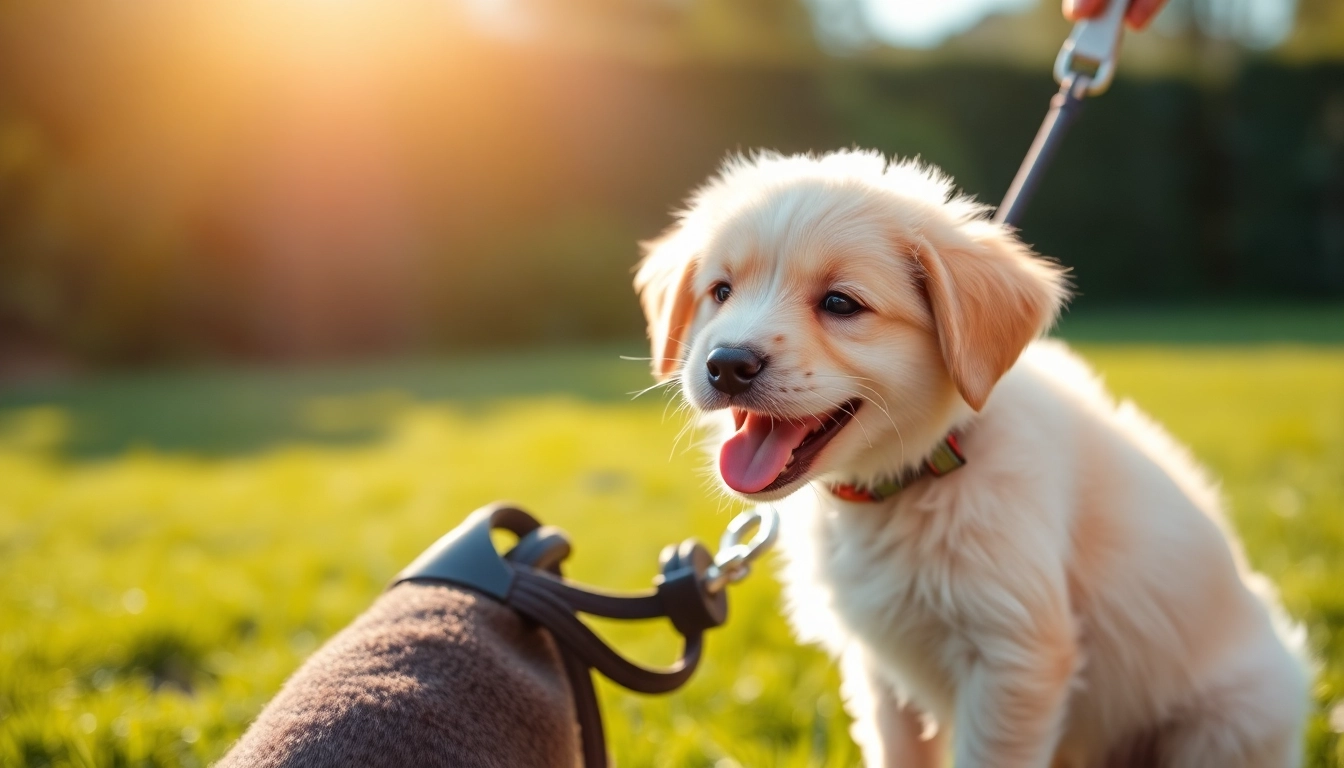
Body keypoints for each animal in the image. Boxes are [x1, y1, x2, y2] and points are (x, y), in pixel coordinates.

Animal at [634, 149, 1306, 768]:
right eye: (721, 292)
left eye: (841, 304)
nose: (726, 364)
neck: (912, 478)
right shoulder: (881, 675)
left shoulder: (1015, 656)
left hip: (1228, 725)